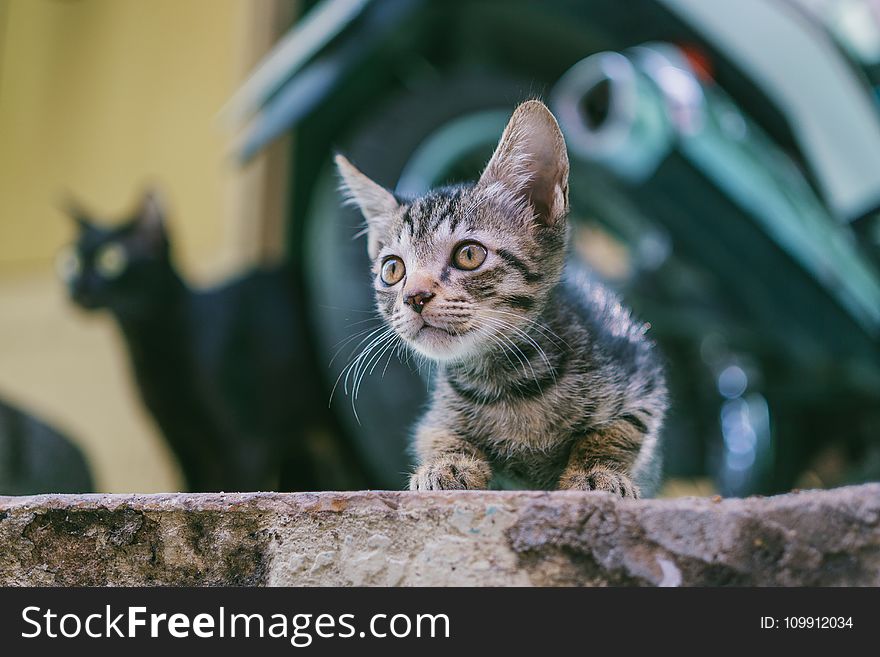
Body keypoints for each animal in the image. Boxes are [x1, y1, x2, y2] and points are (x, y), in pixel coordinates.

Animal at [58, 190, 362, 492]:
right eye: (70, 263)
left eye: (111, 260)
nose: (77, 287)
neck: (149, 348)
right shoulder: (179, 442)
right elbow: (190, 488)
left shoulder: (245, 444)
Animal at [336, 100, 668, 494]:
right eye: (392, 270)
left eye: (468, 254)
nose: (414, 297)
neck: (506, 382)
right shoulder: (435, 417)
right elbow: (438, 434)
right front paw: (447, 464)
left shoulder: (644, 383)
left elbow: (616, 431)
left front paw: (596, 472)